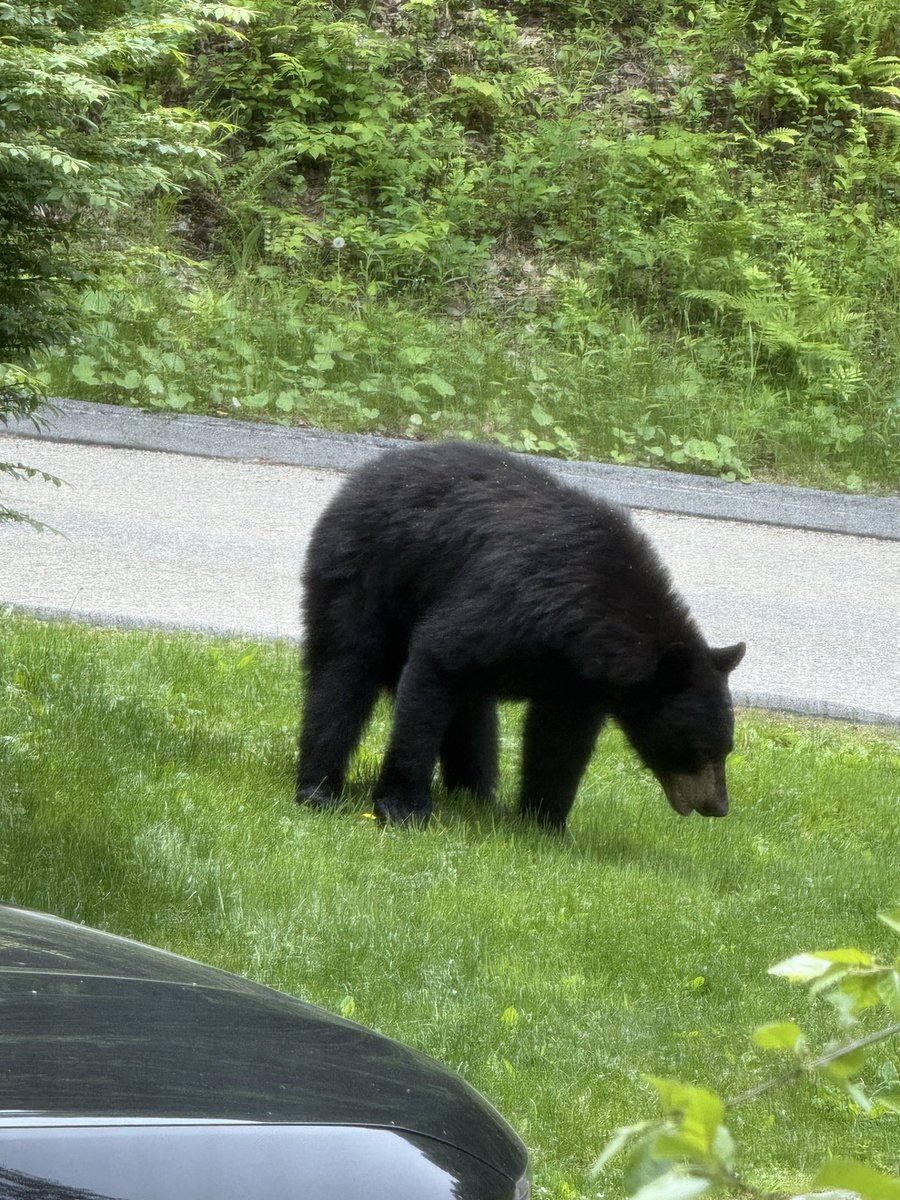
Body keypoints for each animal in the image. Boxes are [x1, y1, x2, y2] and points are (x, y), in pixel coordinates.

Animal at [297, 441, 745, 830]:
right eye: (701, 749)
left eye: (726, 748)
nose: (718, 806)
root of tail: (362, 475)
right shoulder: (511, 607)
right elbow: (436, 659)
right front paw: (403, 807)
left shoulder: (574, 677)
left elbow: (559, 739)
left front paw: (546, 822)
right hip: (363, 576)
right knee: (344, 673)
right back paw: (319, 789)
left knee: (472, 715)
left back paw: (476, 795)